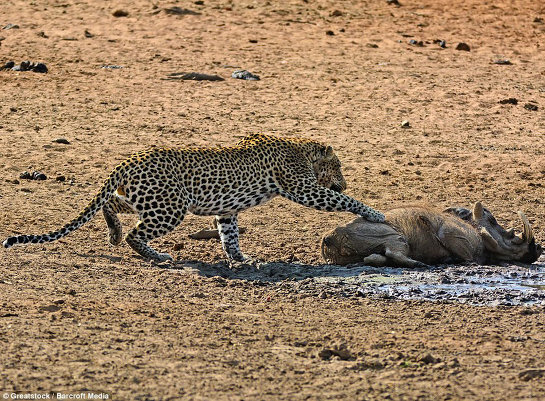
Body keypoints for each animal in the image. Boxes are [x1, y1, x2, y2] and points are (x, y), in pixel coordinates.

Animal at [2, 134, 384, 262]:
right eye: (338, 166)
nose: (344, 182)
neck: (302, 150)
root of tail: (128, 160)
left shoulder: (227, 211)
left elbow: (229, 236)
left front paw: (241, 259)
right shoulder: (304, 189)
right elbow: (343, 202)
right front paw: (374, 213)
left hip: (151, 200)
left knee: (112, 204)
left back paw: (112, 233)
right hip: (169, 208)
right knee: (136, 233)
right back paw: (158, 256)